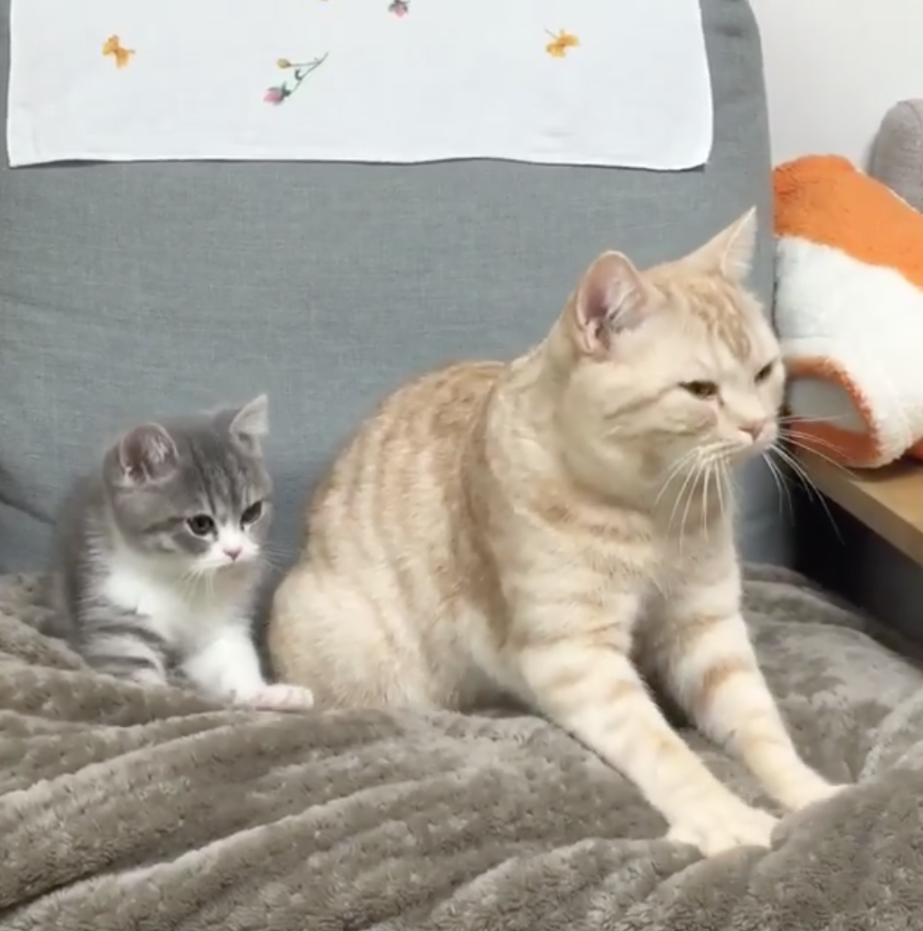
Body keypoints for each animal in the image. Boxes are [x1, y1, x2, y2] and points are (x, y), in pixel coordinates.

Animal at [51, 395, 314, 711]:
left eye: (252, 513)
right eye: (200, 524)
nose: (235, 551)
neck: (182, 578)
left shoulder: (221, 623)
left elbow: (230, 657)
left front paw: (263, 693)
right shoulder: (113, 612)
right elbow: (132, 670)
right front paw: (164, 696)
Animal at [268, 208, 847, 856]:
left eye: (764, 372)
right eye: (700, 390)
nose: (758, 425)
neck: (652, 508)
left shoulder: (706, 627)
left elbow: (760, 725)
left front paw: (811, 795)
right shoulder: (574, 655)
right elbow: (663, 749)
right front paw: (724, 817)